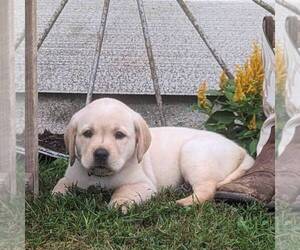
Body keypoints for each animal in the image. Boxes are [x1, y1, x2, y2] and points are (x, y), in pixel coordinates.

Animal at [52, 98, 254, 211]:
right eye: (87, 134)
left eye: (119, 135)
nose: (101, 153)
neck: (104, 176)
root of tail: (241, 150)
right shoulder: (71, 177)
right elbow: (59, 187)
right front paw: (58, 196)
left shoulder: (143, 185)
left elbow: (124, 190)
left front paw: (119, 204)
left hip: (194, 154)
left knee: (206, 190)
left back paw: (182, 203)